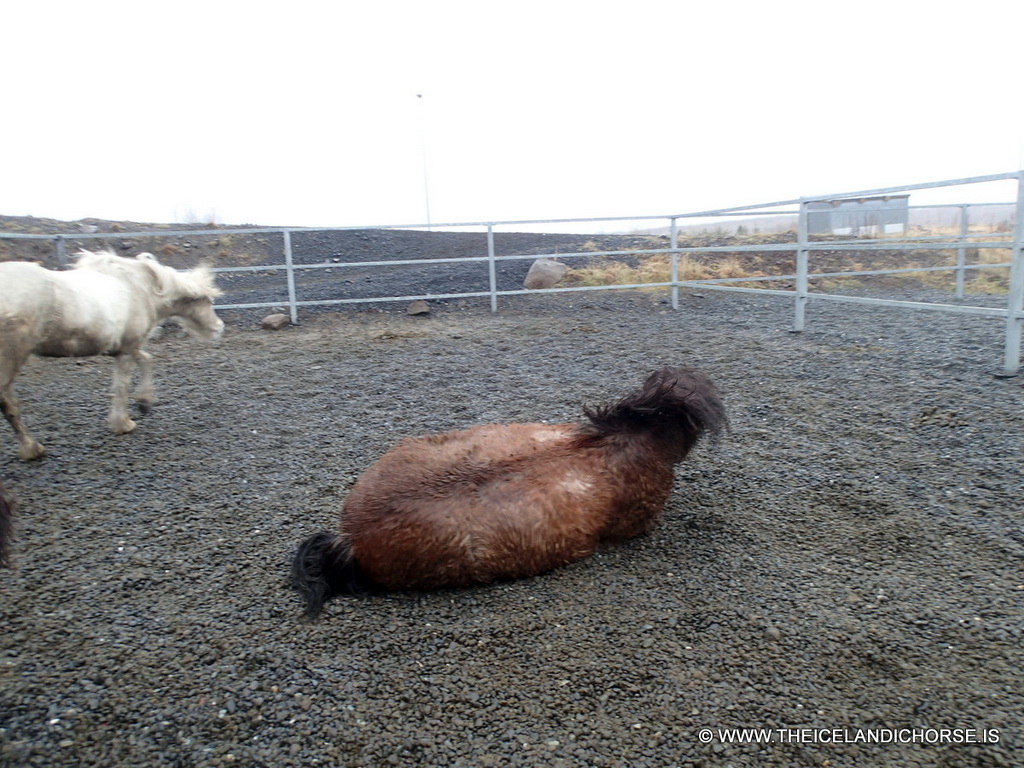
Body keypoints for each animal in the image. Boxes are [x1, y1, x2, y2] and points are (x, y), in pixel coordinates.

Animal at [0, 249, 224, 460]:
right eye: (206, 301)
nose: (219, 327)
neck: (143, 289)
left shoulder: (126, 347)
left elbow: (146, 360)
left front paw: (144, 402)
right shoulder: (126, 349)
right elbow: (123, 385)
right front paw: (124, 422)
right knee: (9, 406)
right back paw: (32, 449)